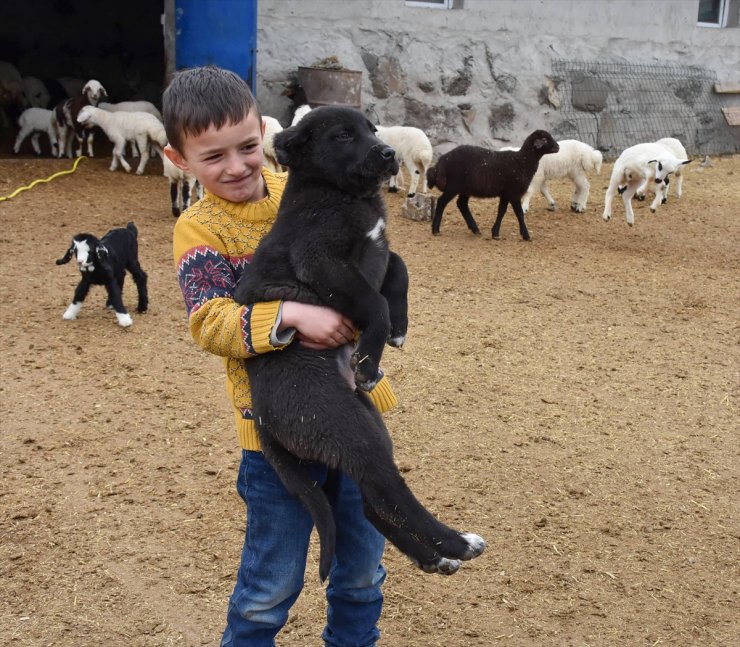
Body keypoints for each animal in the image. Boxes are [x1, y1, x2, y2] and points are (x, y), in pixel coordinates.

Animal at [233, 105, 486, 584]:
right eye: (343, 135)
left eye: (372, 129)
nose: (388, 153)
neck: (341, 196)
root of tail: (265, 422)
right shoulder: (320, 260)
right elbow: (375, 303)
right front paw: (370, 360)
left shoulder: (377, 250)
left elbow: (399, 268)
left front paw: (399, 328)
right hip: (352, 433)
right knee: (393, 497)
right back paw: (457, 543)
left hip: (370, 427)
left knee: (374, 506)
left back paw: (434, 558)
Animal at [424, 130, 556, 242]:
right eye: (545, 139)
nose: (558, 147)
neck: (522, 162)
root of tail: (442, 160)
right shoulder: (513, 193)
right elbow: (519, 213)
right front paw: (526, 235)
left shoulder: (505, 194)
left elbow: (501, 211)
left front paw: (495, 233)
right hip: (454, 185)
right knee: (442, 201)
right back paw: (435, 230)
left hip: (465, 188)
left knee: (461, 204)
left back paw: (475, 229)